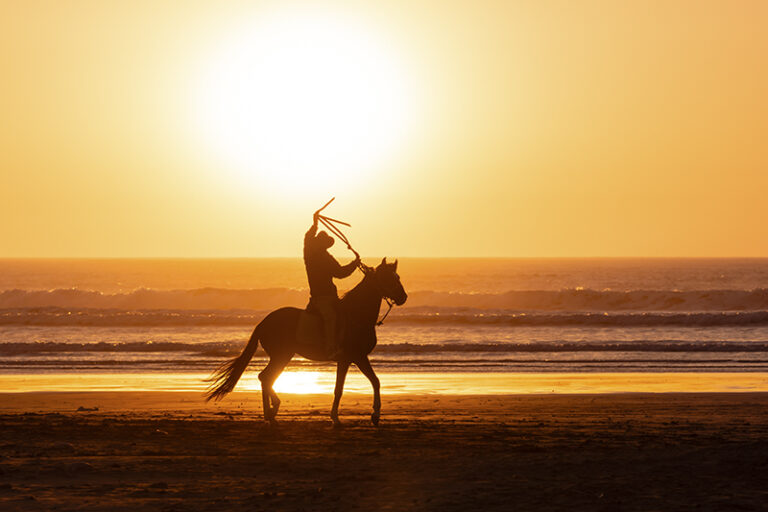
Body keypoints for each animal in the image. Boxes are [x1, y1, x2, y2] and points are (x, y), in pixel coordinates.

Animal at [204, 258, 408, 426]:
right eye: (387, 278)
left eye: (398, 276)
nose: (403, 297)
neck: (356, 314)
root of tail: (263, 323)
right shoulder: (353, 358)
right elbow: (343, 388)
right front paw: (340, 418)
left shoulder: (353, 359)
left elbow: (373, 382)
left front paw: (374, 415)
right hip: (282, 356)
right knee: (266, 377)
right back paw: (273, 409)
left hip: (281, 356)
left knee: (265, 378)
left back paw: (270, 414)